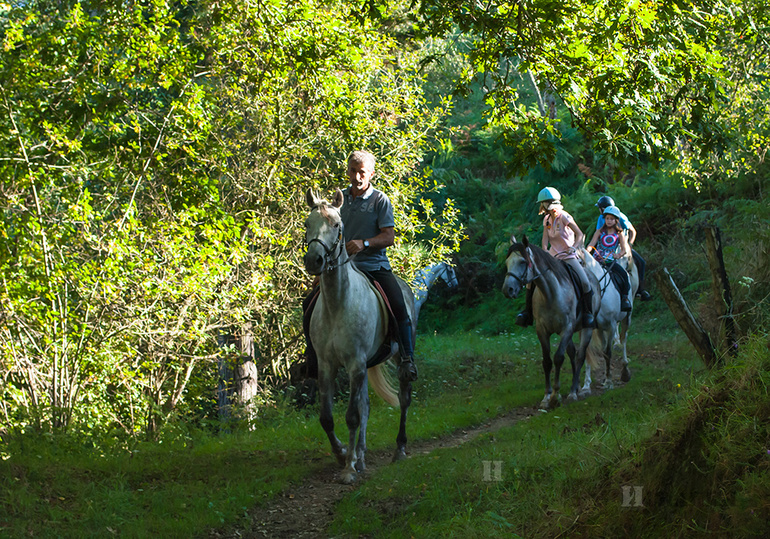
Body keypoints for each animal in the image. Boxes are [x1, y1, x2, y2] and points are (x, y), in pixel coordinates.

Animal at [302, 189, 414, 486]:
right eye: (307, 223)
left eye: (336, 225)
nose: (314, 261)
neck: (338, 303)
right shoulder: (327, 366)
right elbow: (327, 418)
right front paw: (343, 454)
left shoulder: (355, 364)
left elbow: (352, 416)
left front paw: (348, 469)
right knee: (365, 405)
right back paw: (361, 455)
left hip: (397, 358)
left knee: (403, 399)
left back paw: (399, 449)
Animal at [498, 236, 600, 410]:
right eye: (507, 262)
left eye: (523, 262)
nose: (508, 290)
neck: (550, 294)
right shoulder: (542, 330)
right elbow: (546, 361)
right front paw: (547, 396)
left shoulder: (567, 328)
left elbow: (558, 357)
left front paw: (555, 396)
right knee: (572, 353)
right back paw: (575, 387)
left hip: (585, 329)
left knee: (580, 356)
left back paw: (574, 391)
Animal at [584, 247, 636, 394]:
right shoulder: (598, 328)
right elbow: (604, 352)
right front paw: (607, 379)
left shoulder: (612, 325)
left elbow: (608, 352)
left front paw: (609, 381)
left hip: (627, 318)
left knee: (624, 339)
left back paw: (625, 370)